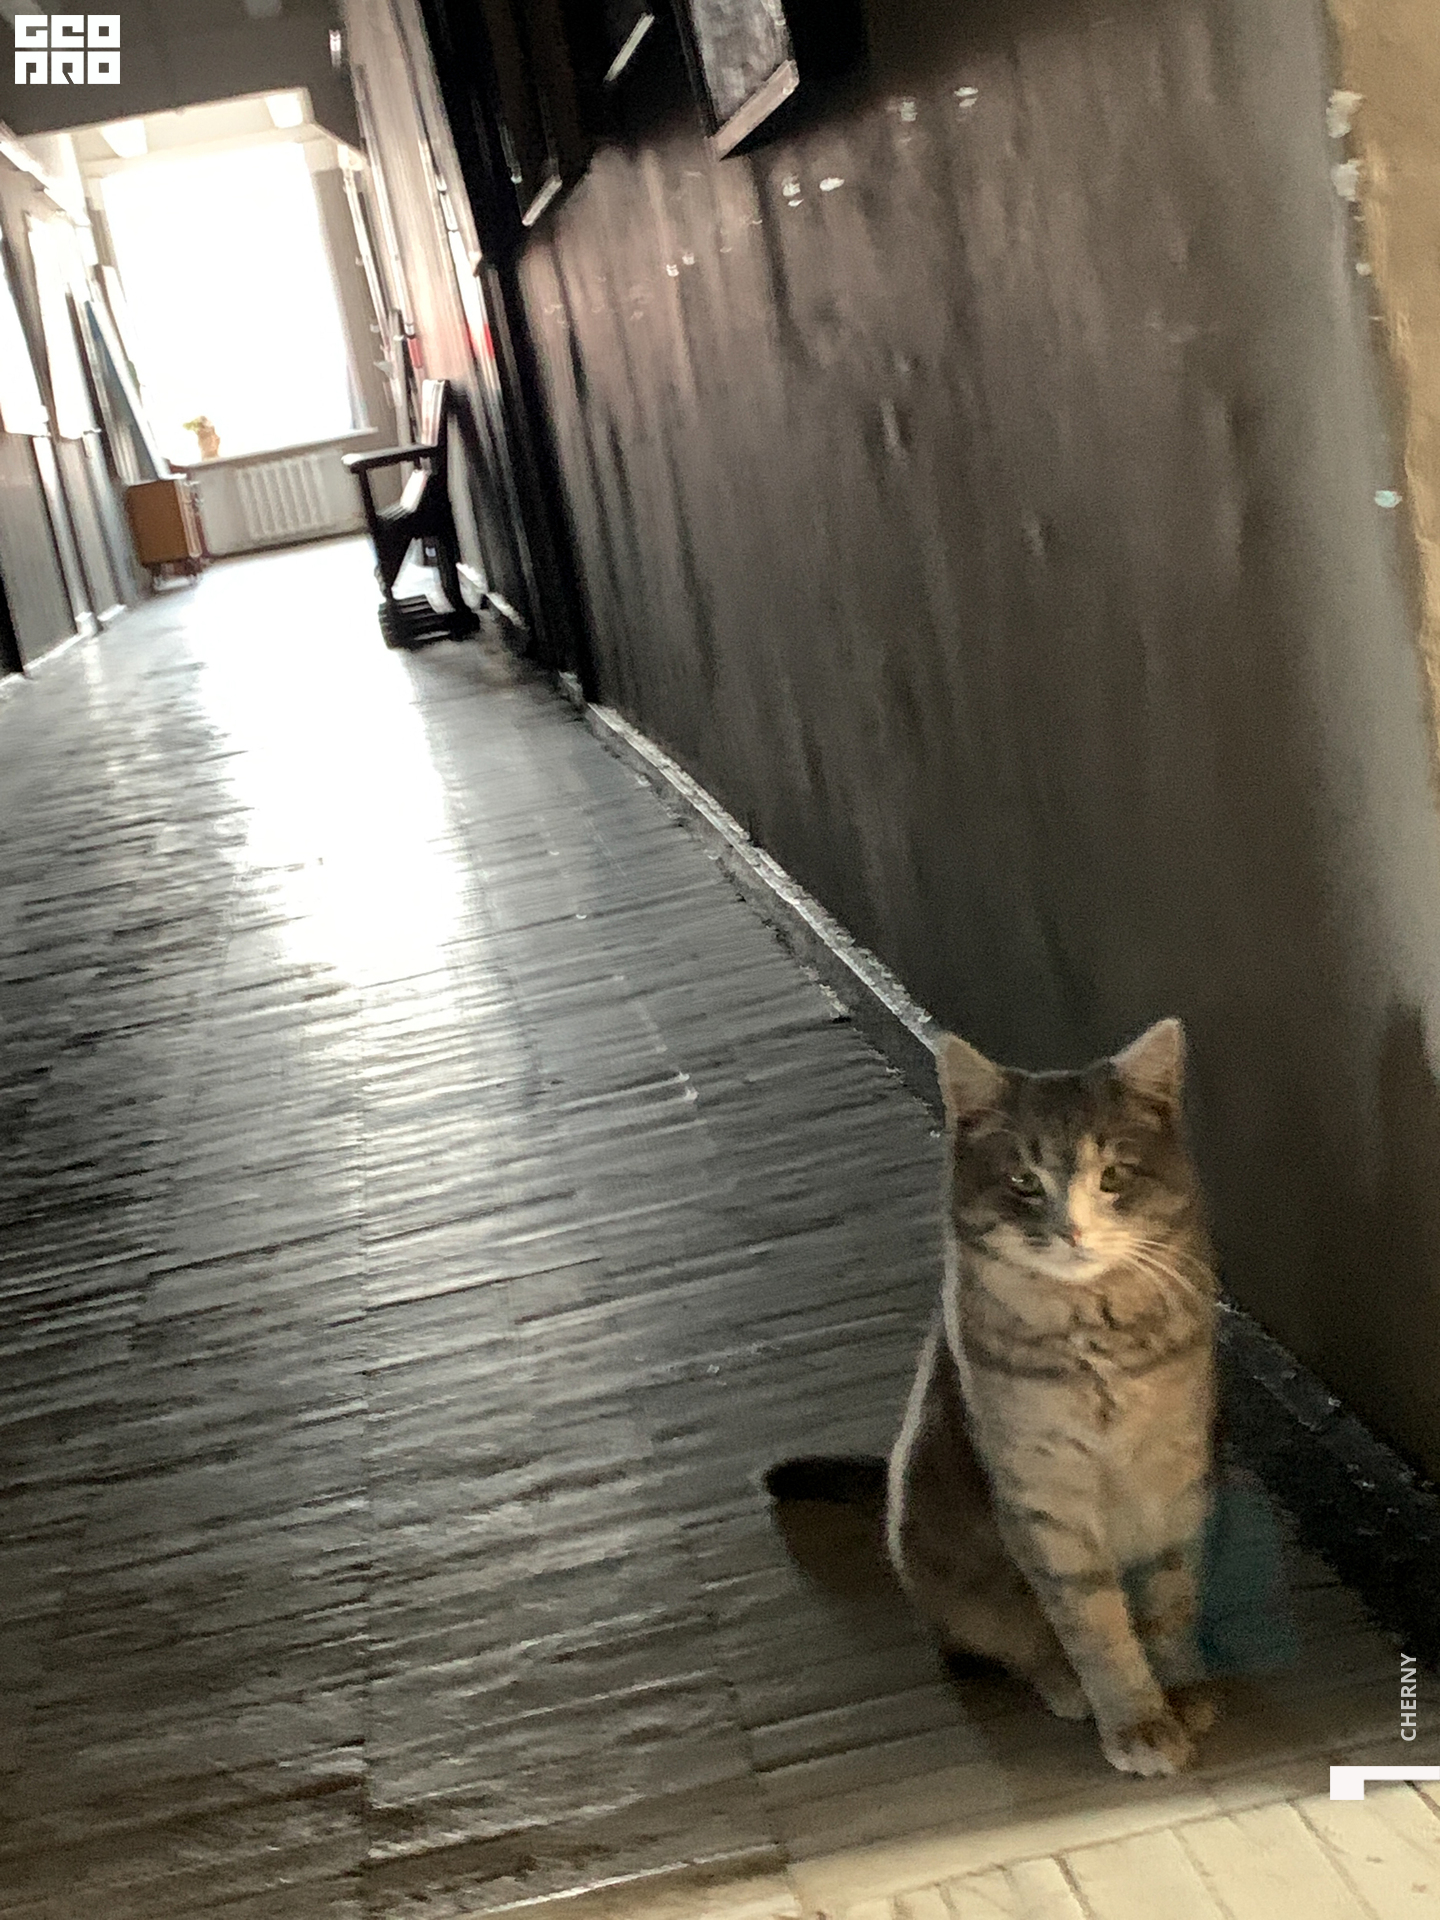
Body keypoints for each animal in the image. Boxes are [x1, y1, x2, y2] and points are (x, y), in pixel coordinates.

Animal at [886, 1017, 1219, 1776]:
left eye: (1114, 1176)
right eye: (1022, 1182)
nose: (1072, 1230)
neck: (1096, 1342)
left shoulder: (1175, 1482)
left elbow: (1170, 1600)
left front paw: (1182, 1691)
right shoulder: (1044, 1505)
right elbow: (1096, 1628)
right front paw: (1138, 1722)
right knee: (1013, 1641)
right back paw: (1064, 1685)